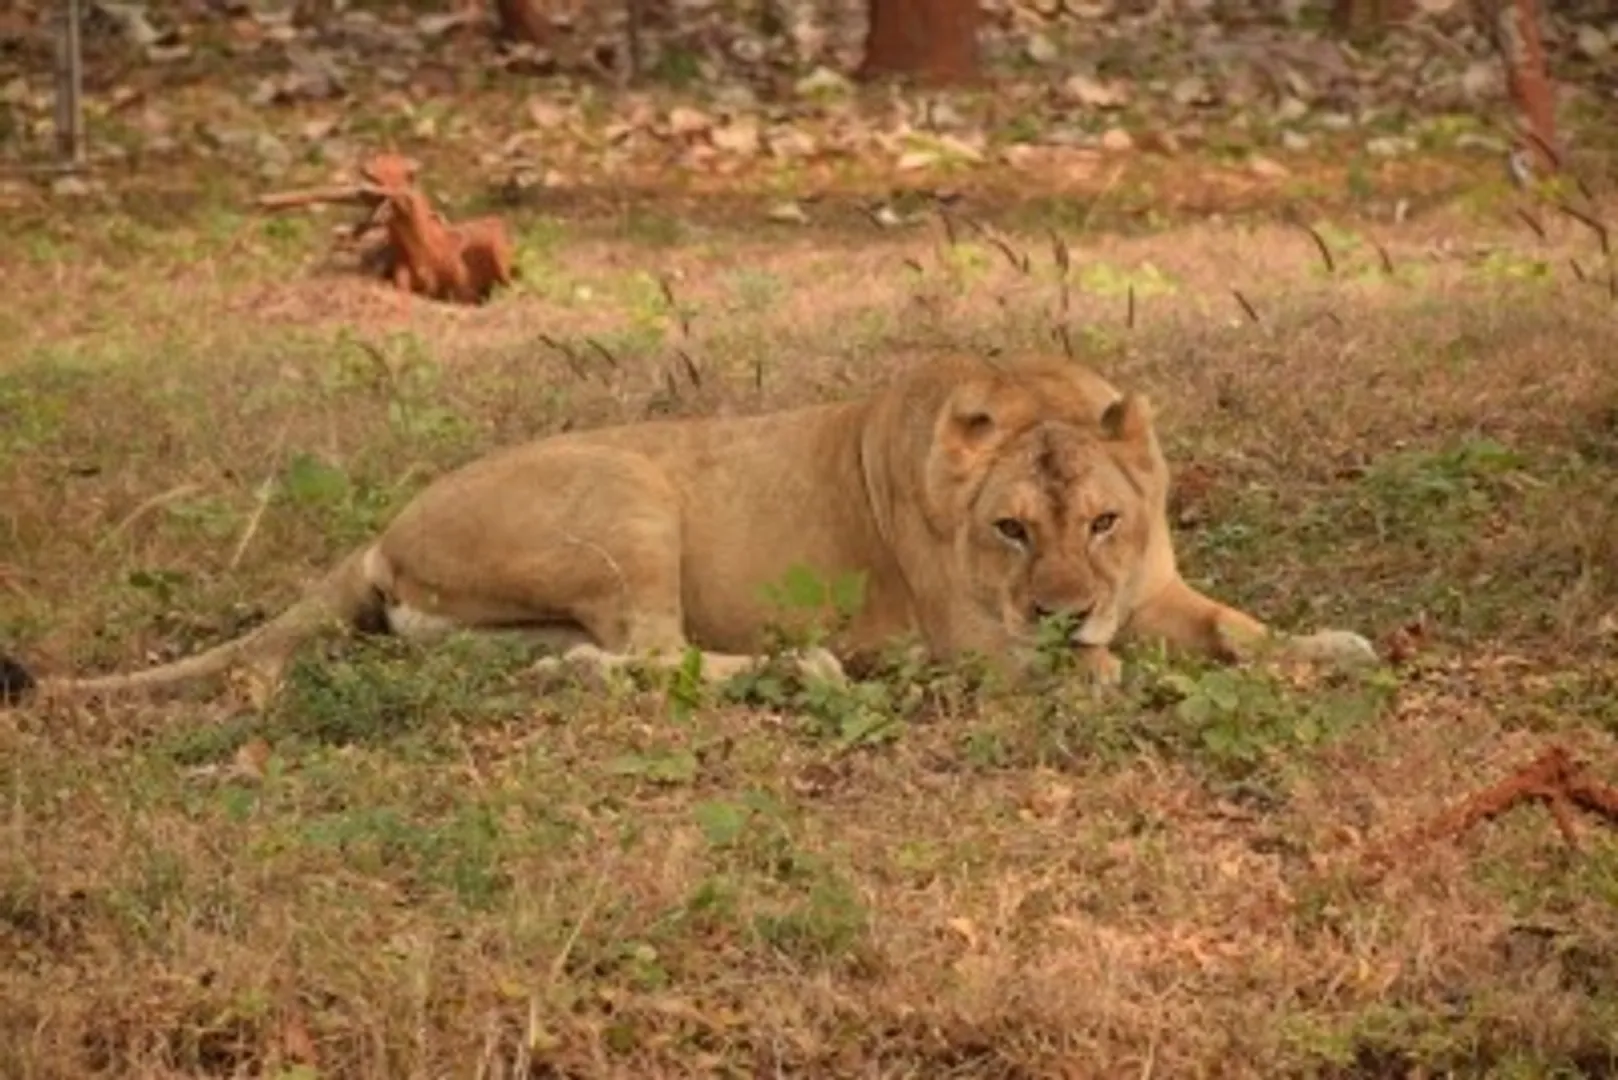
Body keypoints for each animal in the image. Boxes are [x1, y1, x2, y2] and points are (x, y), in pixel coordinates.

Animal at [0, 352, 1376, 708]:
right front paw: (1112, 674)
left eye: (1101, 519)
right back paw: (804, 666)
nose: (1065, 606)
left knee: (584, 662)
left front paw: (1330, 649)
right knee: (658, 658)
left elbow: (1237, 628)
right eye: (1007, 532)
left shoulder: (1153, 587)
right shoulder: (978, 645)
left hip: (502, 620)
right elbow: (1099, 674)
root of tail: (384, 526)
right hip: (631, 493)